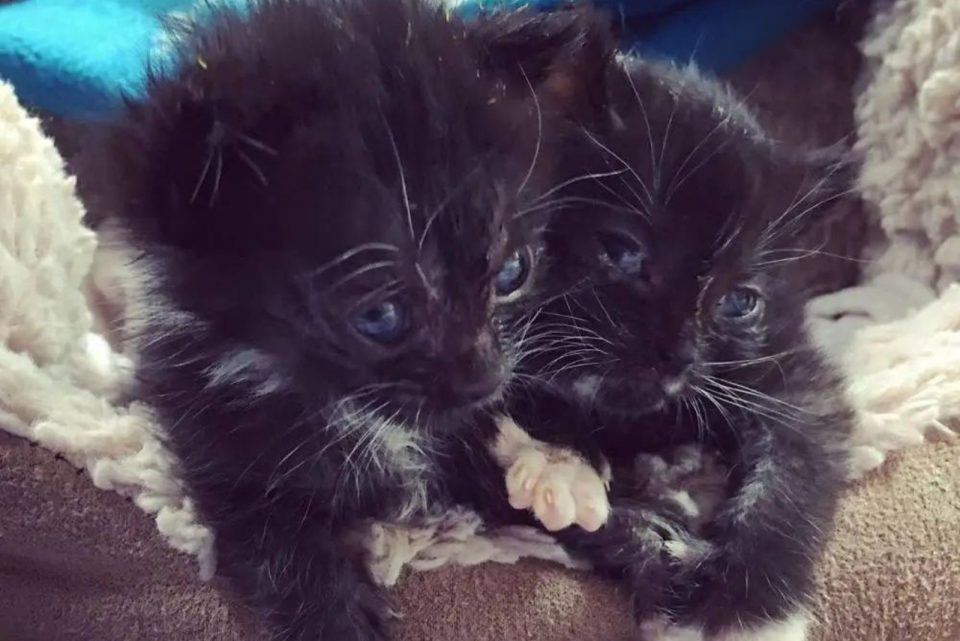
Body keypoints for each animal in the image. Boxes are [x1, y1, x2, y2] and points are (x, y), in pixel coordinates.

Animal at [79, 2, 612, 636]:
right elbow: (285, 551)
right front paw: (339, 618)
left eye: (513, 271)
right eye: (379, 314)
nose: (486, 379)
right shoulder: (224, 445)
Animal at [510, 56, 856, 640]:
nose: (677, 356)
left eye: (740, 301)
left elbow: (793, 466)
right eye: (621, 252)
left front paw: (744, 612)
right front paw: (563, 462)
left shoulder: (791, 370)